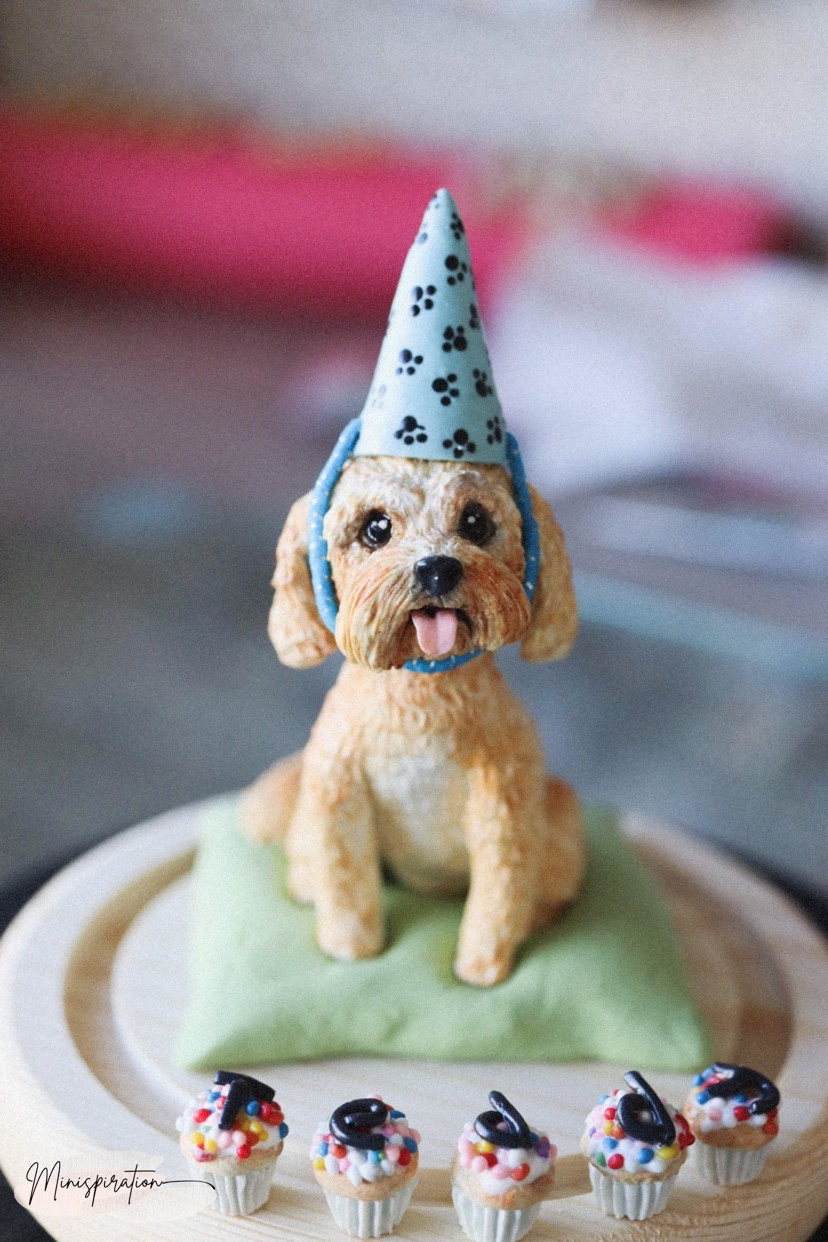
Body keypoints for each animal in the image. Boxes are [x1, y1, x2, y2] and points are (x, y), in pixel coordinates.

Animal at [243, 452, 585, 983]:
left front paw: (480, 970)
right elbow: (345, 884)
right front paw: (349, 950)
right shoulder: (338, 795)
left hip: (563, 817)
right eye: (376, 527)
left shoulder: (503, 805)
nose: (438, 568)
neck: (419, 698)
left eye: (476, 521)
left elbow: (499, 897)